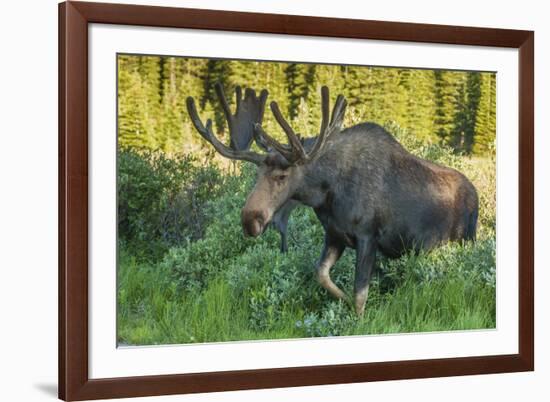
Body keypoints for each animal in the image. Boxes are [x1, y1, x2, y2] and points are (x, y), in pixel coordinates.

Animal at [187, 86, 478, 316]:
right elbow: (322, 274)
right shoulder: (335, 235)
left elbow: (360, 293)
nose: (250, 220)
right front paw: (343, 300)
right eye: (257, 173)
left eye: (282, 176)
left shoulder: (368, 236)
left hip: (464, 240)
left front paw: (357, 319)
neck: (327, 194)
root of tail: (477, 196)